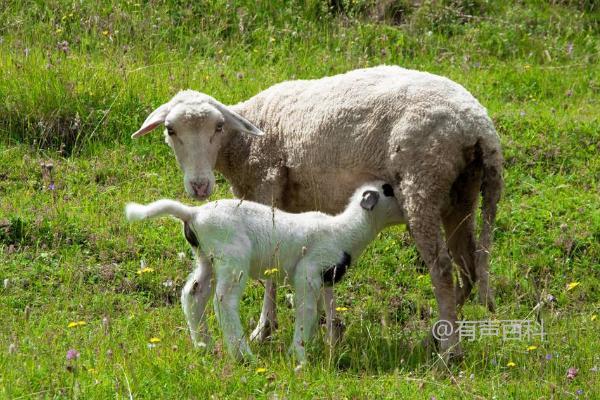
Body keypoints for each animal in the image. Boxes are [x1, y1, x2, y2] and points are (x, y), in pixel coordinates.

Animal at [124, 181, 406, 362]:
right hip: (232, 256)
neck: (346, 231)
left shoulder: (325, 278)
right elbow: (306, 310)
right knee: (223, 301)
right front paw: (299, 355)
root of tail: (193, 213)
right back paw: (243, 355)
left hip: (207, 258)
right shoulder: (308, 271)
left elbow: (321, 311)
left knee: (193, 296)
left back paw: (204, 345)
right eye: (390, 190)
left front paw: (319, 346)